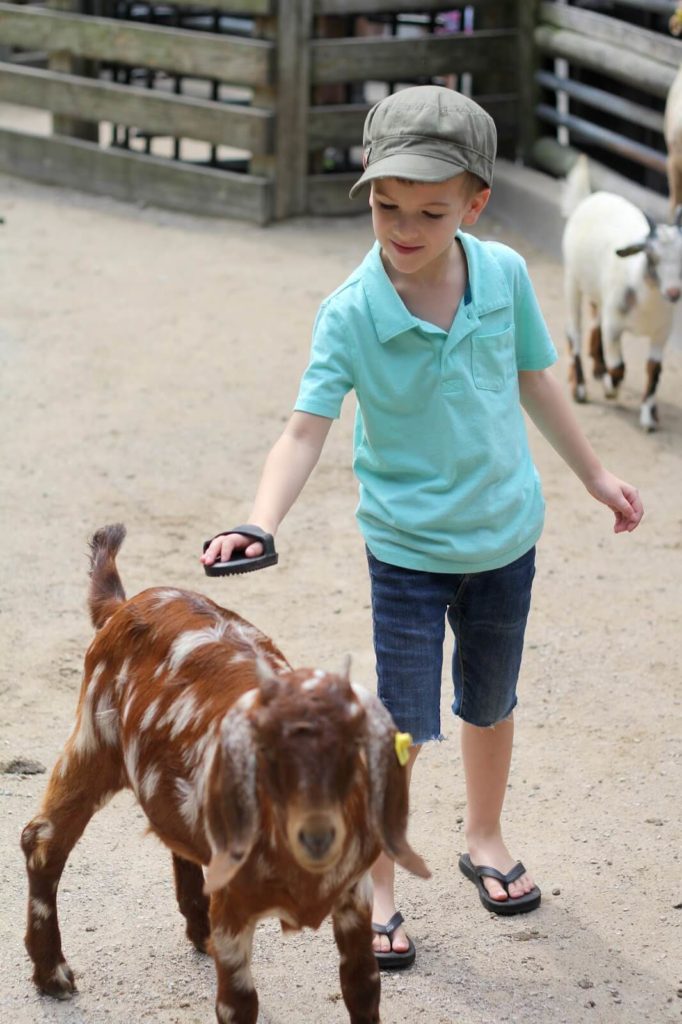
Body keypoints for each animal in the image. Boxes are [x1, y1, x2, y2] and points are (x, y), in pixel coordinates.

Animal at [22, 528, 430, 1024]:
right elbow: (239, 1004)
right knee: (43, 840)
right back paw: (52, 974)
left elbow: (363, 989)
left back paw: (197, 928)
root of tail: (122, 605)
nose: (317, 830)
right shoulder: (236, 911)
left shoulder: (354, 893)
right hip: (93, 739)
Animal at [557, 155, 679, 432]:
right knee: (573, 331)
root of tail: (590, 198)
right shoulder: (614, 327)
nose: (674, 292)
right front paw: (610, 389)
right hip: (572, 279)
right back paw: (579, 386)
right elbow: (620, 368)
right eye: (651, 256)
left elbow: (654, 370)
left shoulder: (662, 333)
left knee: (595, 318)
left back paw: (597, 366)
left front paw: (648, 416)